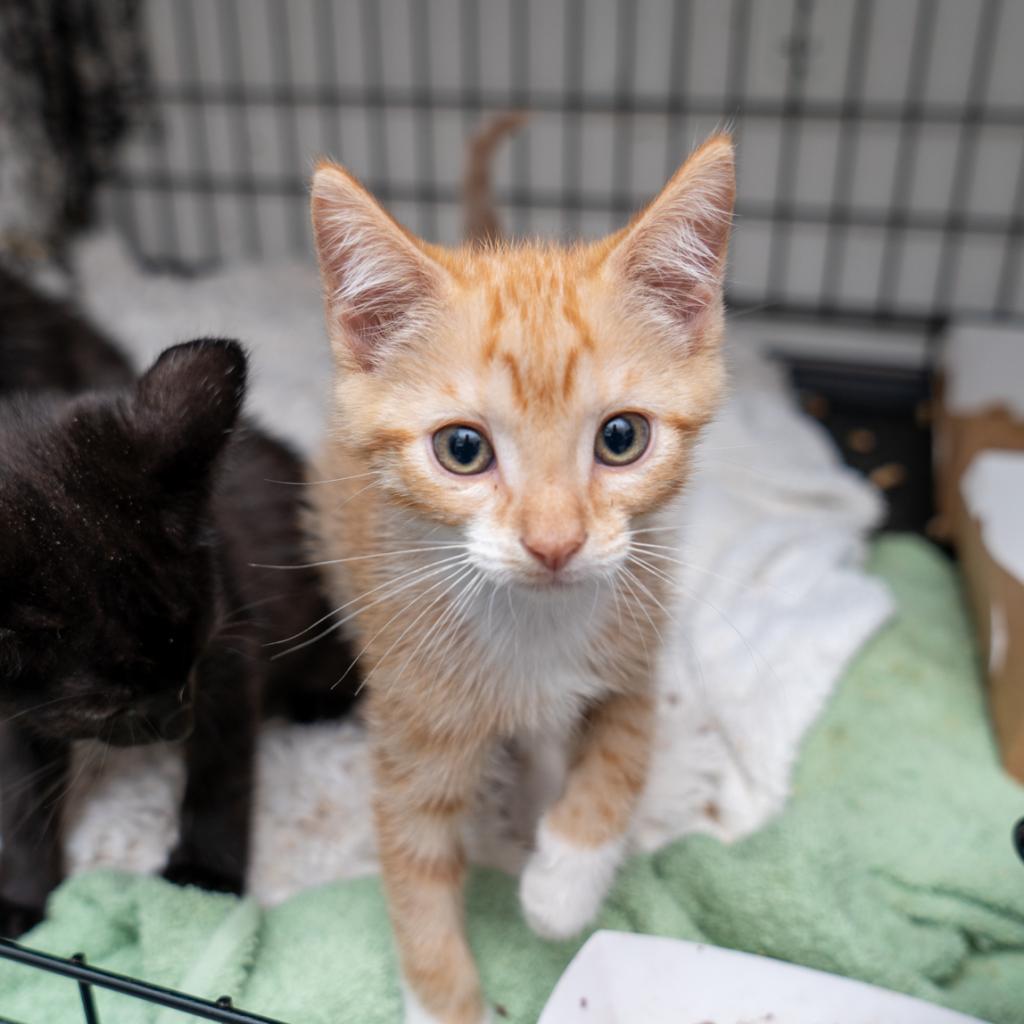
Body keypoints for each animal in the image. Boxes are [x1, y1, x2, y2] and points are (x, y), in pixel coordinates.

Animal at [0, 278, 360, 929]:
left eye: (192, 656)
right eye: (102, 706)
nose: (175, 723)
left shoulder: (231, 647)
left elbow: (221, 770)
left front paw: (205, 878)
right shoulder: (16, 708)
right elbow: (21, 798)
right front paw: (21, 896)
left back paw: (322, 698)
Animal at [307, 138, 733, 1024]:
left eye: (621, 438)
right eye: (463, 449)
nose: (554, 542)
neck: (535, 628)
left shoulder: (635, 651)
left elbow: (621, 758)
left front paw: (561, 885)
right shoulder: (411, 727)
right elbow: (417, 880)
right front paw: (444, 1000)